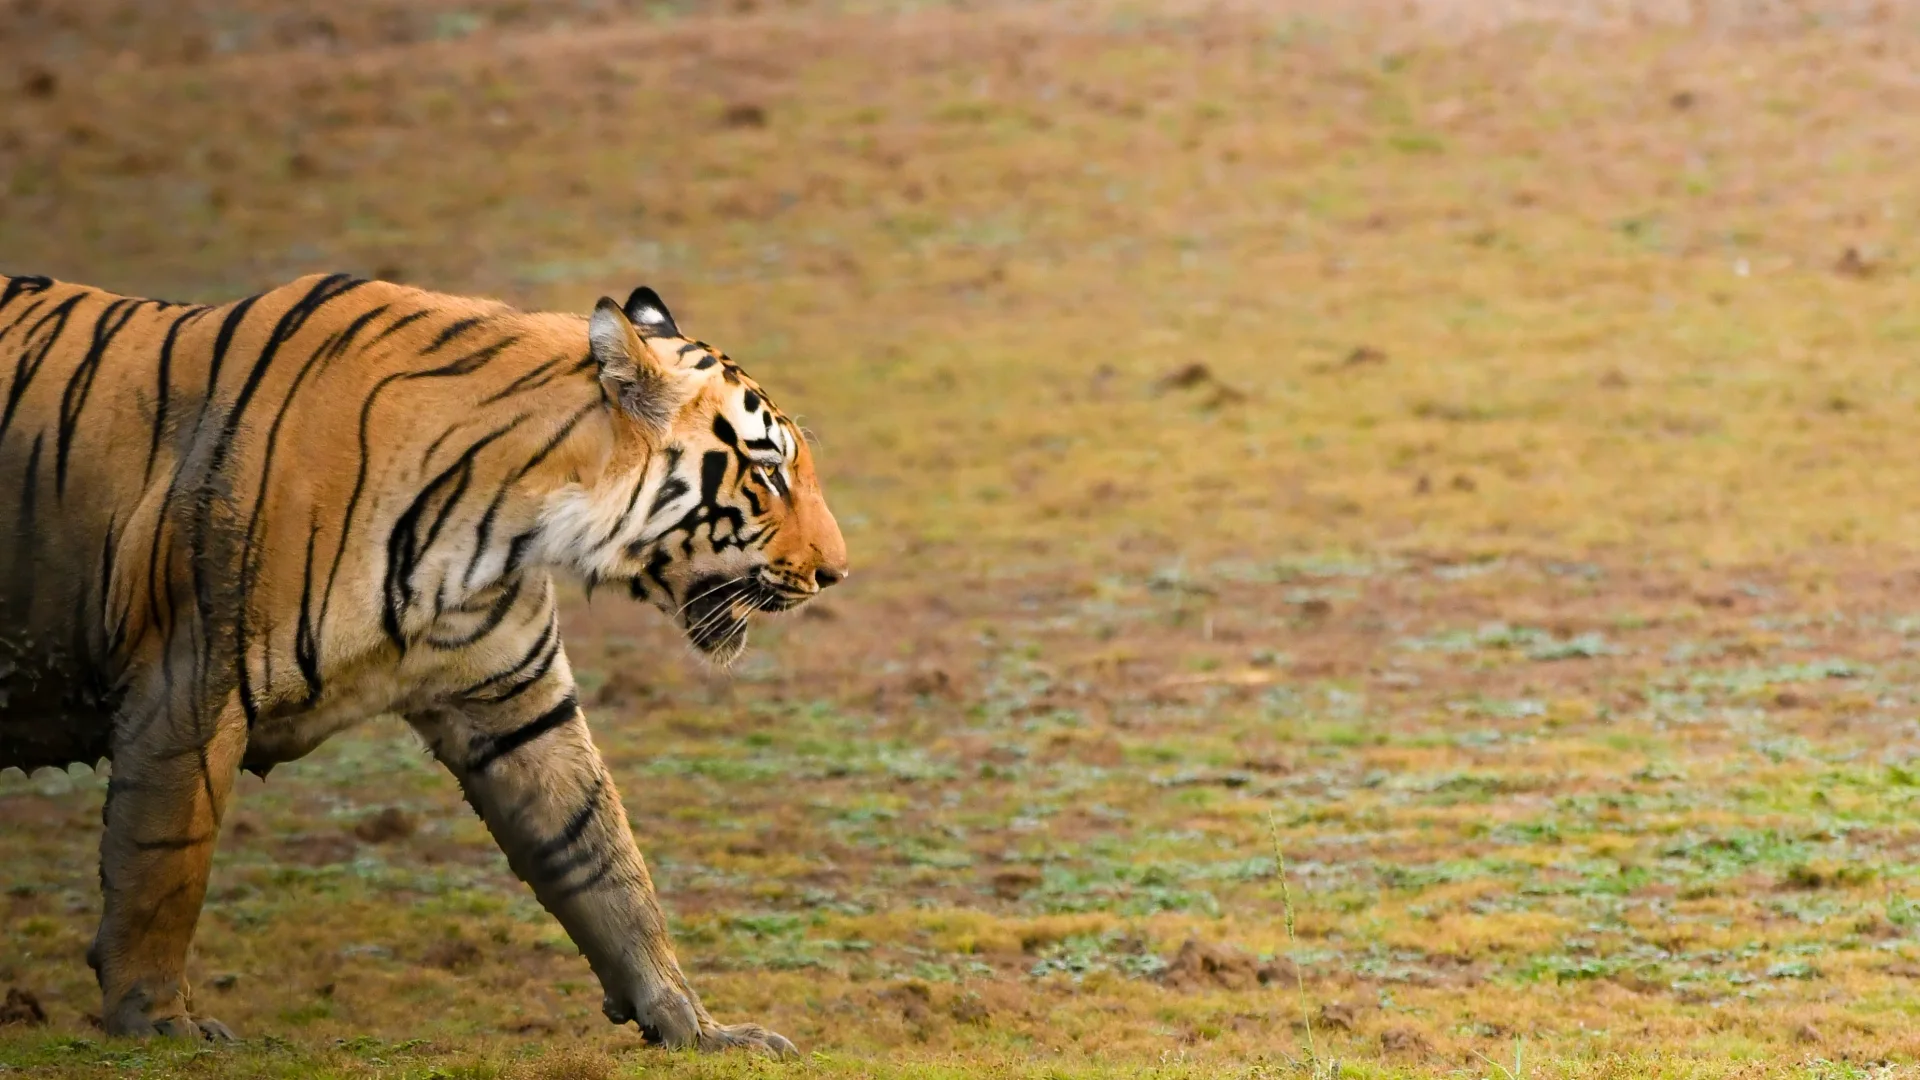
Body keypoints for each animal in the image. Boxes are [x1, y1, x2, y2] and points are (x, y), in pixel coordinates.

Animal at [0, 271, 847, 1054]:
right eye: (767, 473)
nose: (836, 573)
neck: (509, 520)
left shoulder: (520, 706)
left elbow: (605, 860)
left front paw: (693, 1025)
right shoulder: (191, 682)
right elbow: (164, 863)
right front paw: (156, 1022)